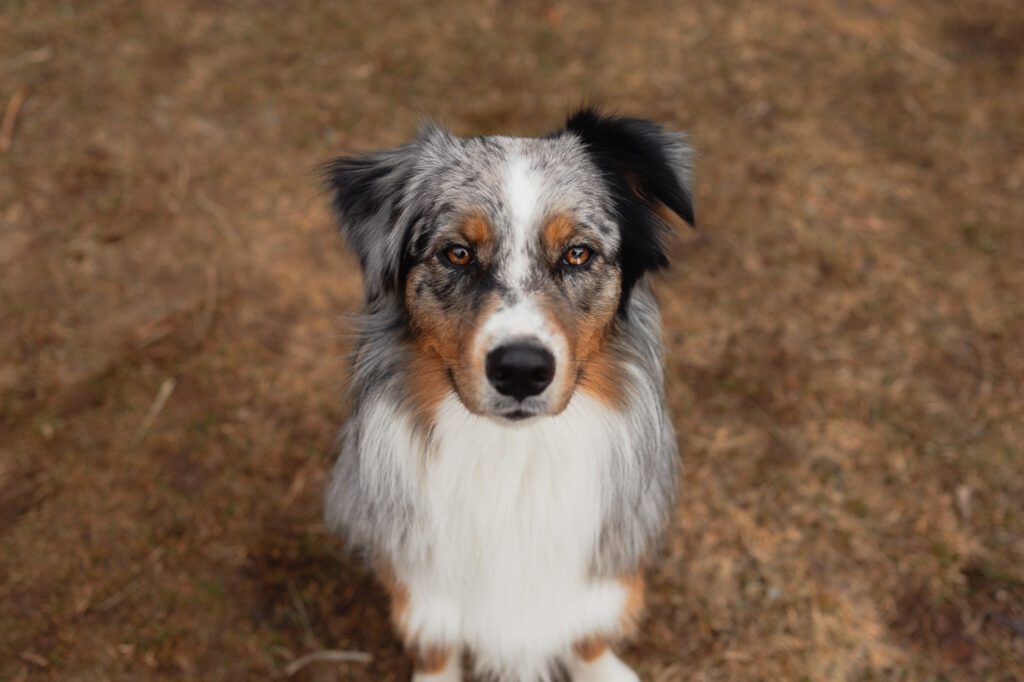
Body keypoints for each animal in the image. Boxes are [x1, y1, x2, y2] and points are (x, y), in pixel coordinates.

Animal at [321, 109, 696, 675]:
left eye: (578, 254)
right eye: (456, 253)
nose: (521, 370)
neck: (515, 458)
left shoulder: (601, 572)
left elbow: (589, 631)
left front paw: (602, 668)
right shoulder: (421, 583)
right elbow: (436, 642)